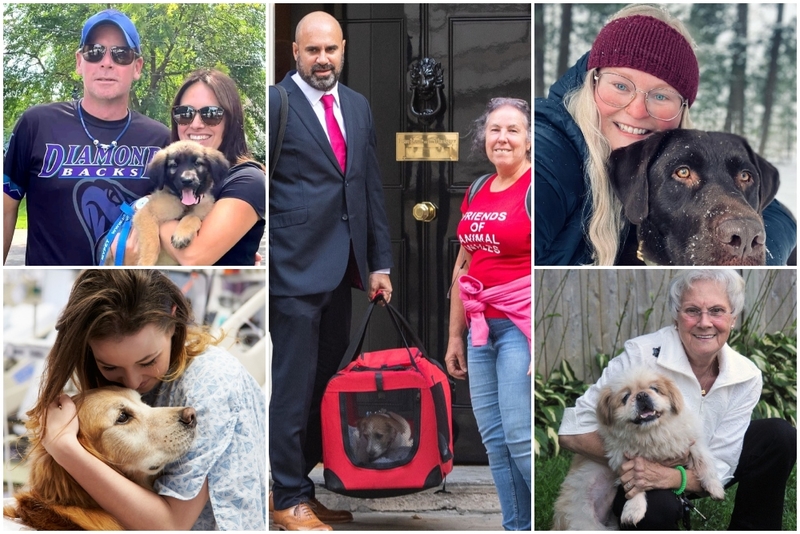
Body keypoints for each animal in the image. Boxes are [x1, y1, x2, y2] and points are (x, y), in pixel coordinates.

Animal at [552, 368, 720, 532]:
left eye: (654, 389)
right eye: (626, 397)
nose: (641, 395)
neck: (652, 433)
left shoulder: (690, 442)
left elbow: (704, 460)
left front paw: (715, 487)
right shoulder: (624, 458)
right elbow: (635, 483)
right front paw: (633, 510)